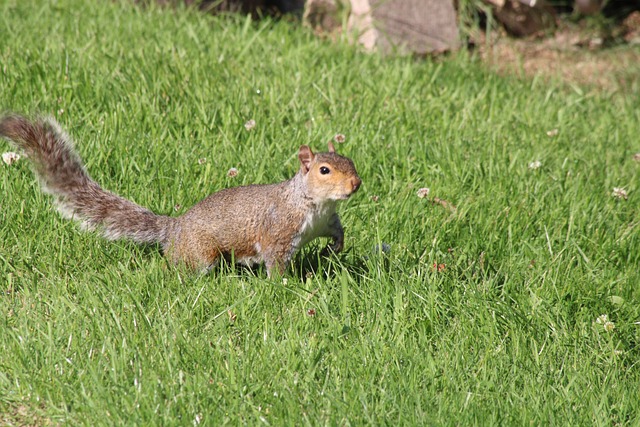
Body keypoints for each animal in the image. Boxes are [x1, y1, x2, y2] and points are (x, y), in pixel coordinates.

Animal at [0, 114, 360, 278]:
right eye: (324, 170)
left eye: (350, 161)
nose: (356, 184)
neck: (313, 203)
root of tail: (174, 229)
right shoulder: (279, 232)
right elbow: (275, 261)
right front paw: (284, 285)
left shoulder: (326, 220)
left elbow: (338, 231)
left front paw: (335, 248)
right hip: (202, 254)